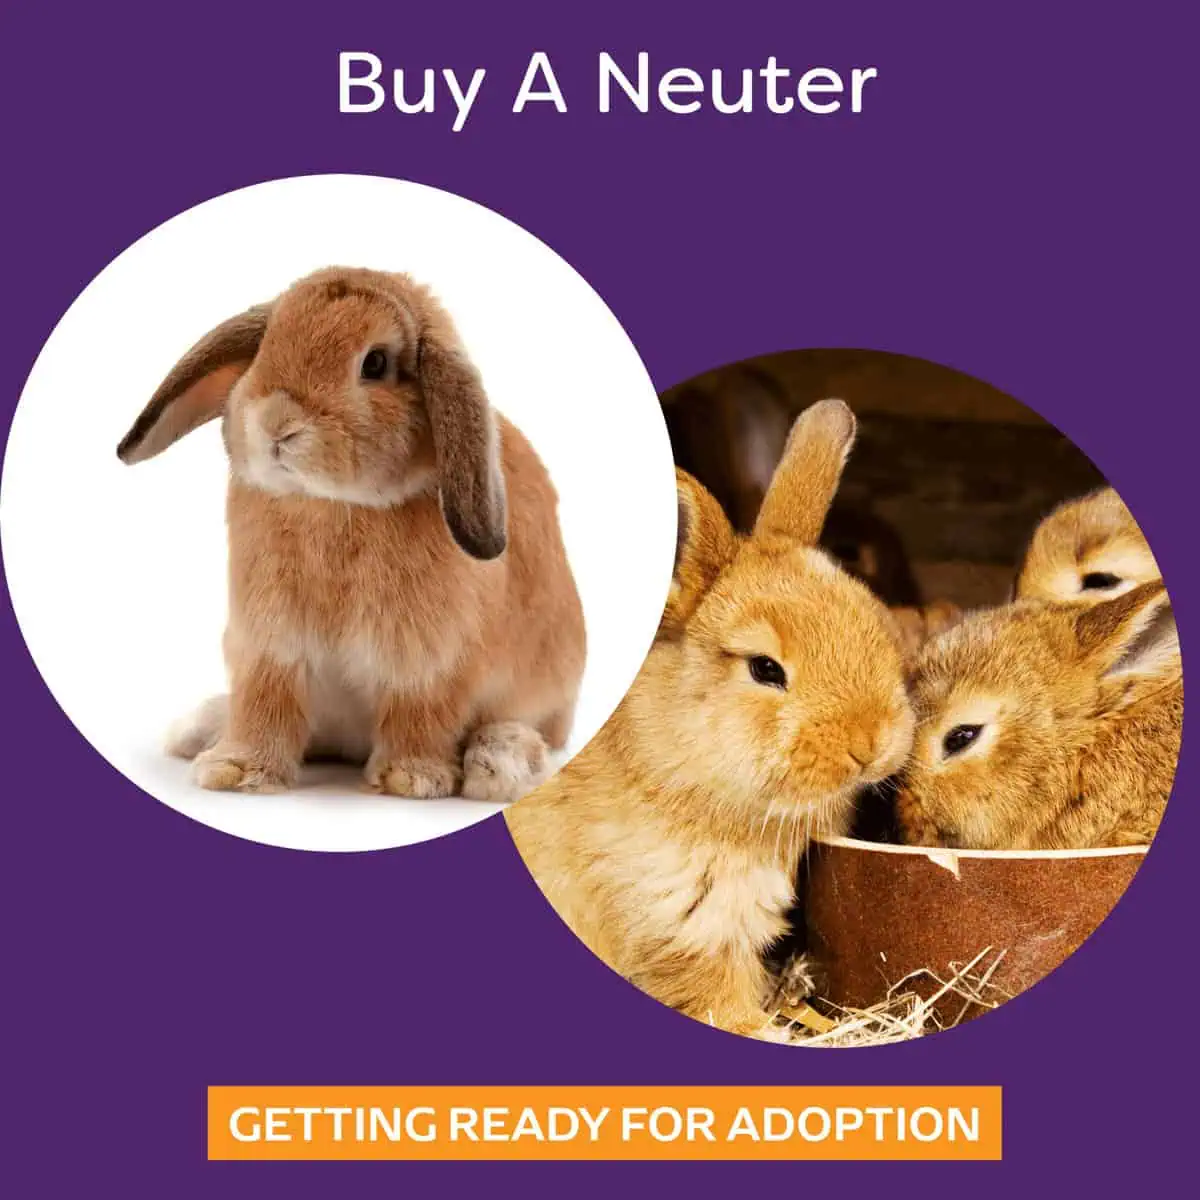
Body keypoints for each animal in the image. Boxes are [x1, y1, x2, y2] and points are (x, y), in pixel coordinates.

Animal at [116, 266, 586, 803]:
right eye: (266, 345)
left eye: (375, 363)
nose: (276, 423)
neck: (333, 504)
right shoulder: (271, 647)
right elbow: (263, 706)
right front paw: (234, 770)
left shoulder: (428, 661)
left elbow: (419, 713)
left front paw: (411, 779)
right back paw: (197, 729)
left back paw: (499, 762)